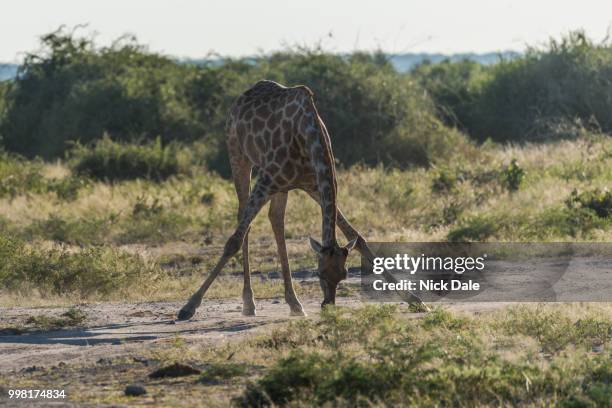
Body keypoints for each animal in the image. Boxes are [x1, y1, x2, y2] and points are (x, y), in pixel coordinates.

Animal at [179, 79, 424, 320]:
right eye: (319, 273)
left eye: (344, 274)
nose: (328, 305)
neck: (308, 136)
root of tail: (243, 95)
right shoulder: (266, 181)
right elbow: (233, 241)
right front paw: (189, 306)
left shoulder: (313, 185)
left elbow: (357, 237)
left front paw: (415, 301)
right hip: (239, 156)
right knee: (244, 220)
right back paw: (249, 303)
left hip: (282, 186)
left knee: (276, 220)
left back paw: (294, 303)